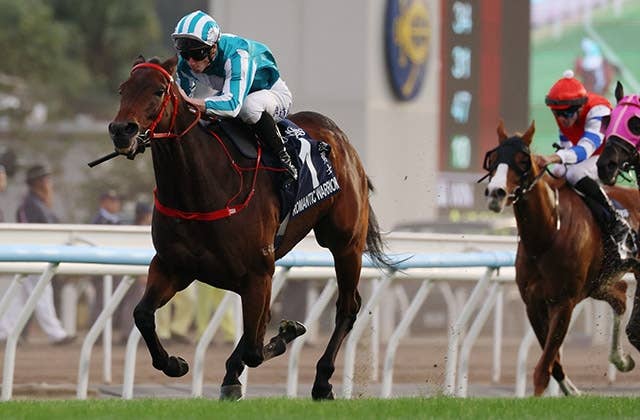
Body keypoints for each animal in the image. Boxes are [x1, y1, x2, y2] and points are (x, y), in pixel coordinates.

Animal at [106, 55, 390, 400]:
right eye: (123, 89)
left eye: (159, 90)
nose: (122, 130)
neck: (202, 188)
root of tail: (340, 137)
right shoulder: (174, 266)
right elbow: (143, 315)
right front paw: (175, 363)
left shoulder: (257, 271)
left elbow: (256, 348)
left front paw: (287, 332)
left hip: (345, 243)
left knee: (347, 307)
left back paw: (322, 381)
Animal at [483, 120, 640, 396]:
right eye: (493, 159)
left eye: (522, 161)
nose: (495, 193)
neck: (547, 236)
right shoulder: (533, 303)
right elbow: (552, 363)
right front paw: (574, 392)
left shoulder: (564, 302)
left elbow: (543, 369)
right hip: (598, 283)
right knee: (620, 295)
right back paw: (621, 359)